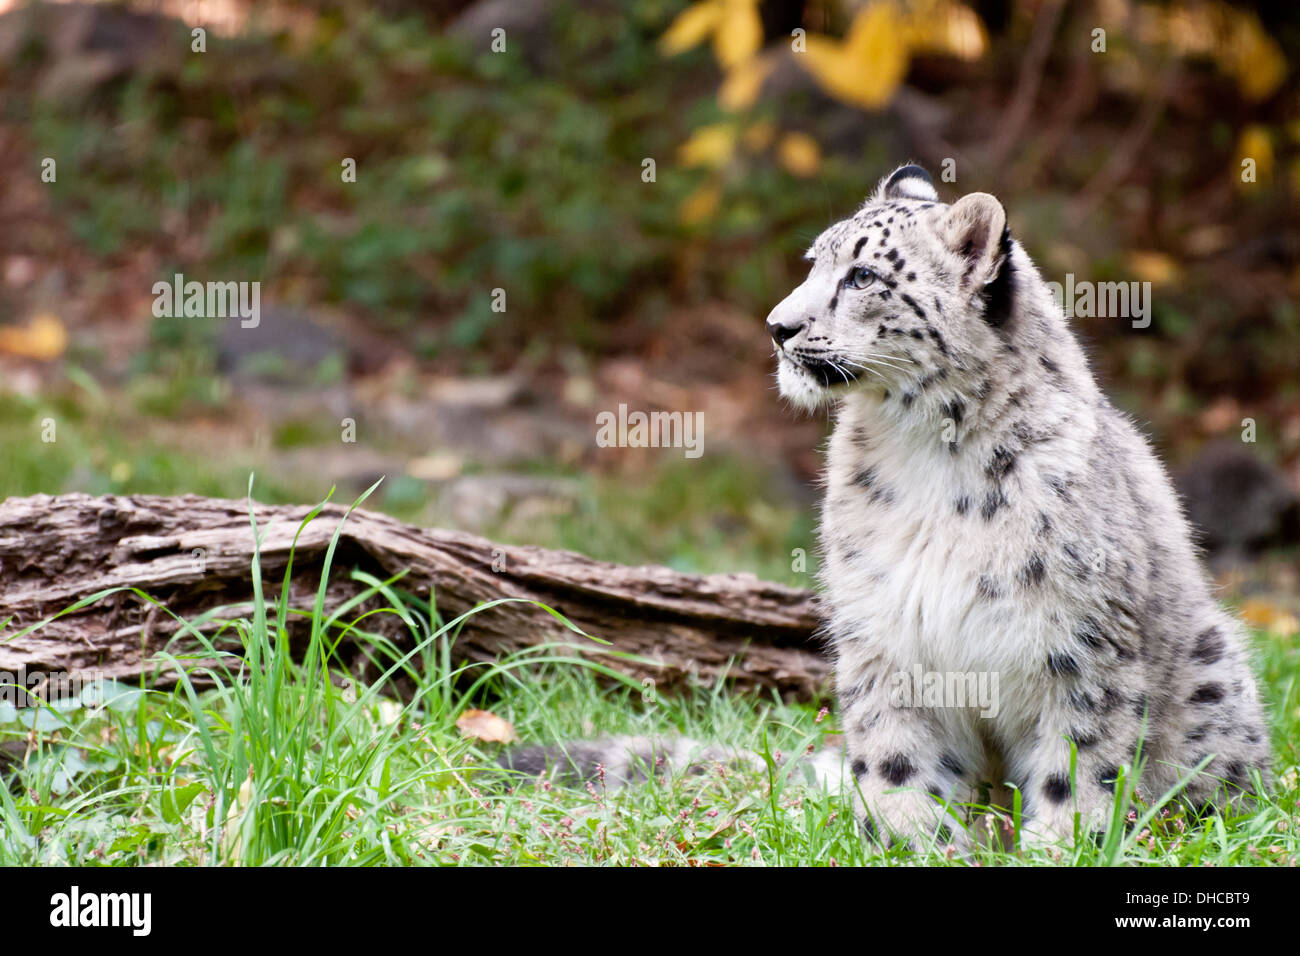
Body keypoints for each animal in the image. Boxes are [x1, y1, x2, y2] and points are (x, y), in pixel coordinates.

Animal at [496, 162, 1268, 853]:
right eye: (815, 262)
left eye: (864, 277)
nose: (777, 326)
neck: (928, 451)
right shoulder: (884, 630)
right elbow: (898, 762)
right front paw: (913, 842)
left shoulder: (1080, 646)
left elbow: (1079, 768)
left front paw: (1063, 844)